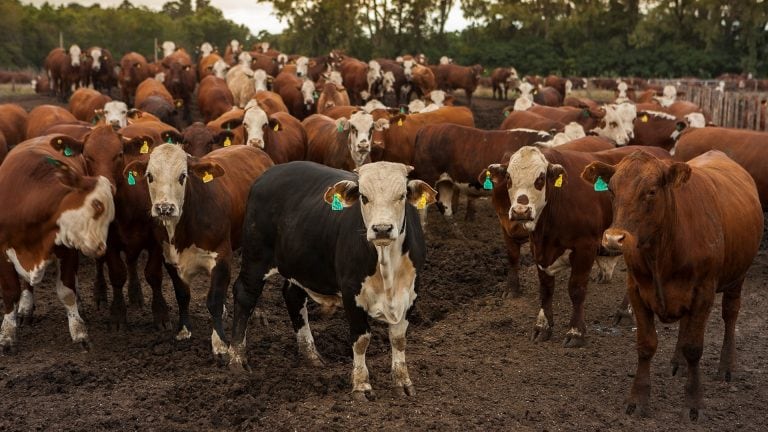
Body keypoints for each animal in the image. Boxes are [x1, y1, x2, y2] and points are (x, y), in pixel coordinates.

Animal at [0, 132, 115, 352]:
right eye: (97, 205)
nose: (101, 248)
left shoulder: (66, 249)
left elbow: (67, 291)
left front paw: (79, 332)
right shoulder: (2, 251)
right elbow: (10, 293)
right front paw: (7, 335)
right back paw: (26, 307)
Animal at [123, 143, 272, 360]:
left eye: (183, 176)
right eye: (150, 176)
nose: (164, 208)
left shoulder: (221, 257)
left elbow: (214, 300)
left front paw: (220, 343)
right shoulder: (170, 260)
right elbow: (182, 295)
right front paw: (183, 330)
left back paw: (258, 311)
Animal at [225, 160, 436, 400]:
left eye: (401, 196)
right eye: (363, 197)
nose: (382, 229)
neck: (386, 265)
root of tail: (268, 174)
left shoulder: (411, 291)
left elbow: (399, 338)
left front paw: (402, 381)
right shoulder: (351, 292)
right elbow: (361, 339)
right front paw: (361, 385)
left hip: (300, 265)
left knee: (293, 297)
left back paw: (310, 354)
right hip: (255, 256)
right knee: (245, 295)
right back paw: (237, 358)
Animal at [486, 147, 672, 346]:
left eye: (540, 178)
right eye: (508, 178)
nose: (521, 211)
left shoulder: (585, 247)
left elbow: (576, 290)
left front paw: (575, 332)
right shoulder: (539, 249)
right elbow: (545, 289)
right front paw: (542, 327)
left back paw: (626, 311)